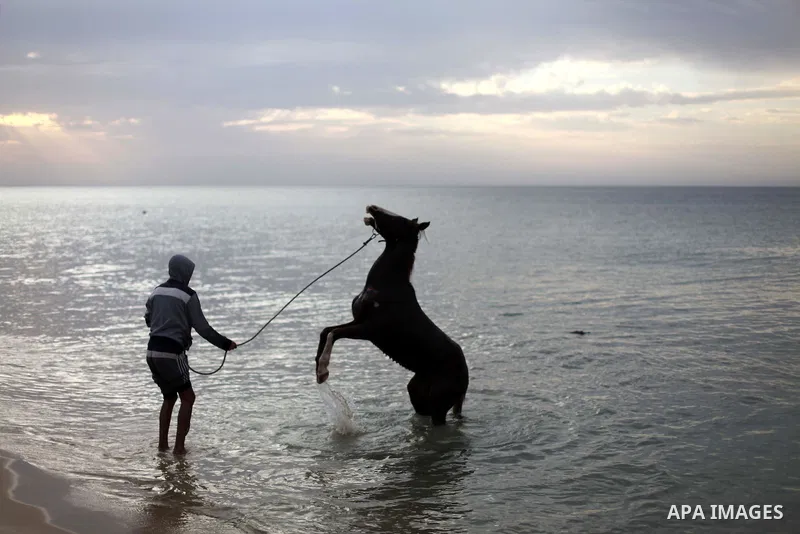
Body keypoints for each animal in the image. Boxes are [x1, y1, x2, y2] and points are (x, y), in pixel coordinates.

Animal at [315, 205, 469, 426]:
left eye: (400, 220)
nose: (372, 207)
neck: (387, 284)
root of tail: (465, 376)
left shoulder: (368, 330)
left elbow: (333, 334)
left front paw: (323, 370)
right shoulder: (357, 321)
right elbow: (326, 331)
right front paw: (318, 372)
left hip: (439, 406)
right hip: (418, 394)